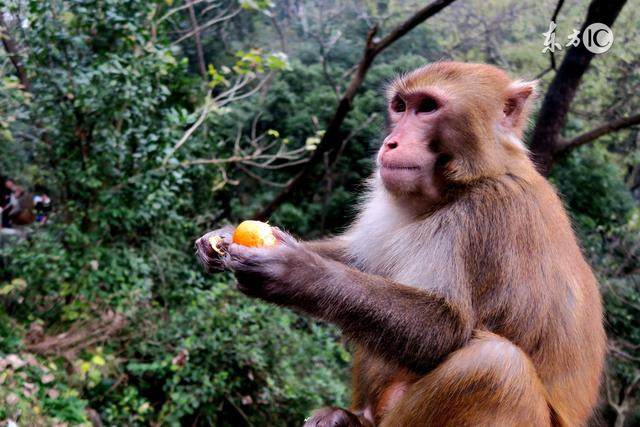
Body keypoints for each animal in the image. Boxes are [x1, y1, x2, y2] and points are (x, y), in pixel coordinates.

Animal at [195, 61, 604, 427]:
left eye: (428, 107)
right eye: (401, 106)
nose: (390, 142)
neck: (463, 183)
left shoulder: (487, 215)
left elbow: (445, 328)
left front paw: (296, 273)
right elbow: (360, 264)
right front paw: (223, 238)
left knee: (495, 365)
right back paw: (349, 418)